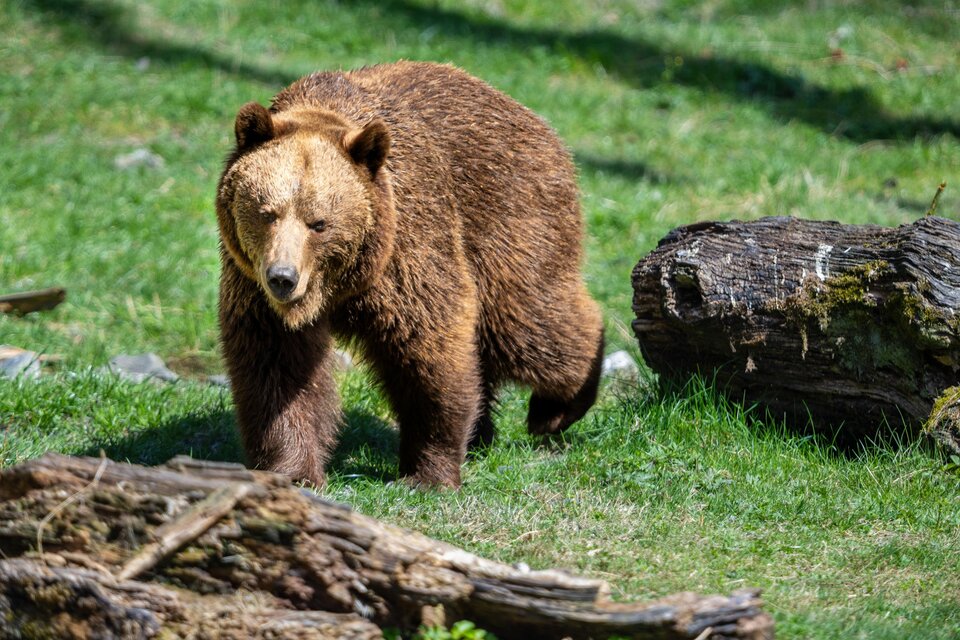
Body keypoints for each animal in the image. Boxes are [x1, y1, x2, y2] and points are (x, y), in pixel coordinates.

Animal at [216, 61, 604, 488]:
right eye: (267, 213)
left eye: (319, 223)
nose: (283, 277)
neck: (338, 286)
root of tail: (531, 117)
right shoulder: (253, 288)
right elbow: (278, 369)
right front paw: (292, 470)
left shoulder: (407, 248)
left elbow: (428, 347)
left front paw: (427, 472)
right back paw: (483, 432)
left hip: (509, 217)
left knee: (527, 322)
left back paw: (555, 408)